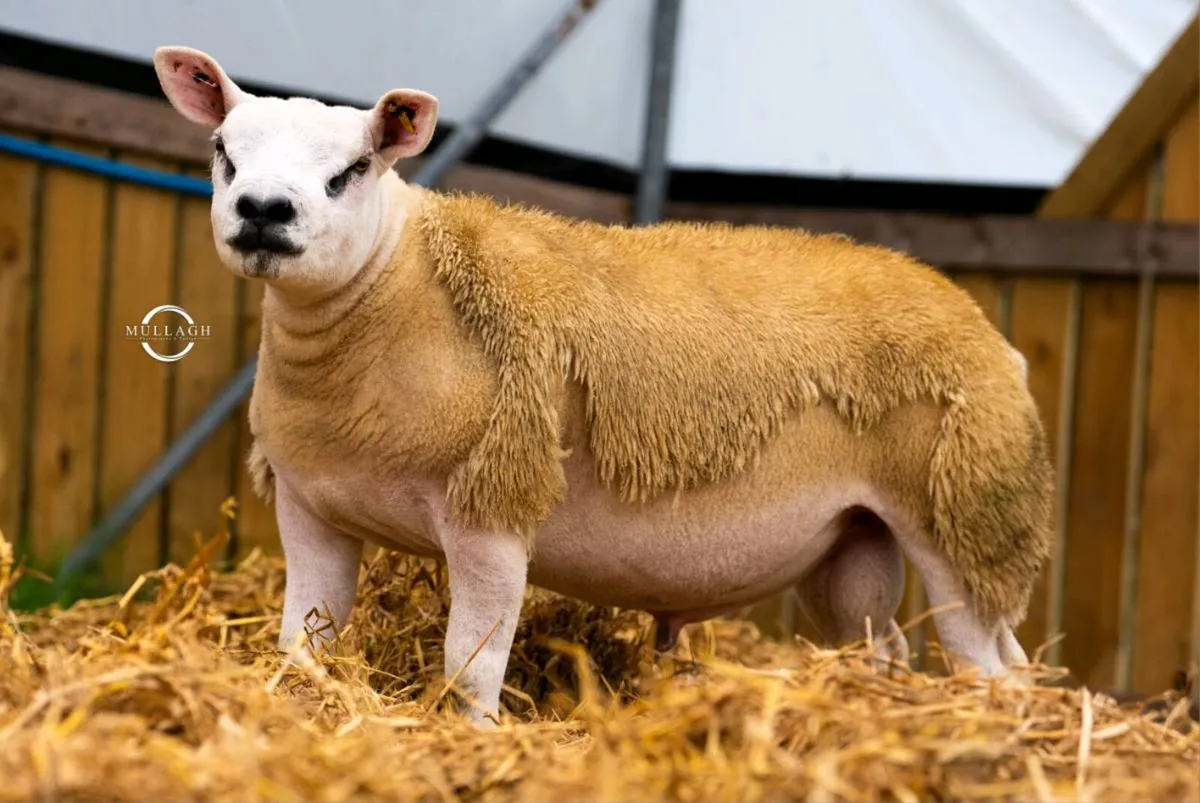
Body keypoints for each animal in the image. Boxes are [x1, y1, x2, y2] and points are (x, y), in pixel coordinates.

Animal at [154, 46, 1055, 726]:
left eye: (352, 169)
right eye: (224, 152)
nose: (263, 209)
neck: (393, 290)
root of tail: (989, 335)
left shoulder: (493, 510)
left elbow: (471, 664)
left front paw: (478, 735)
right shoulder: (310, 507)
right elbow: (302, 643)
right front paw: (303, 698)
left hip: (963, 515)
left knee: (994, 665)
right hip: (856, 541)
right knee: (884, 648)